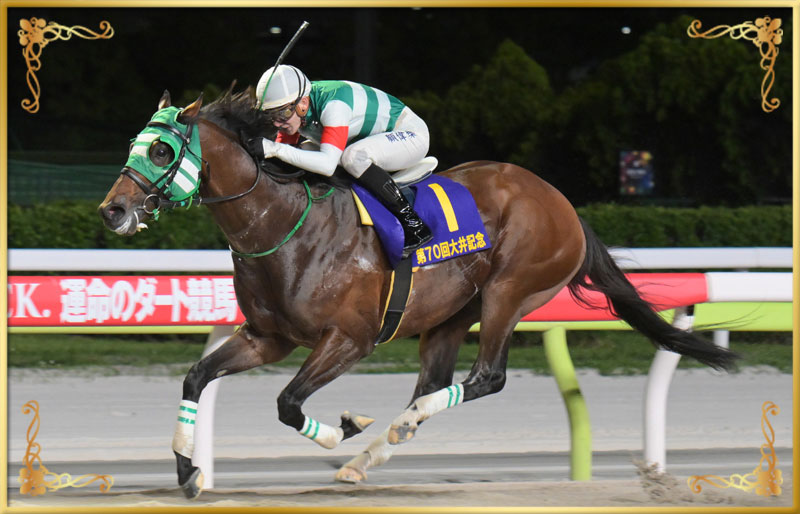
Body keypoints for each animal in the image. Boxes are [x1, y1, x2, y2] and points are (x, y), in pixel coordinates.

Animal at [98, 88, 737, 499]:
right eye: (132, 142)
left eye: (161, 150)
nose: (112, 210)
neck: (284, 224)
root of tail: (563, 203)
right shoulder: (267, 338)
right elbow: (196, 378)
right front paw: (188, 471)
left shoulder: (350, 339)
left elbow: (288, 403)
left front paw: (342, 428)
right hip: (451, 312)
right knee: (434, 383)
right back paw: (373, 453)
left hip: (509, 291)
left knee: (486, 377)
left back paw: (389, 431)